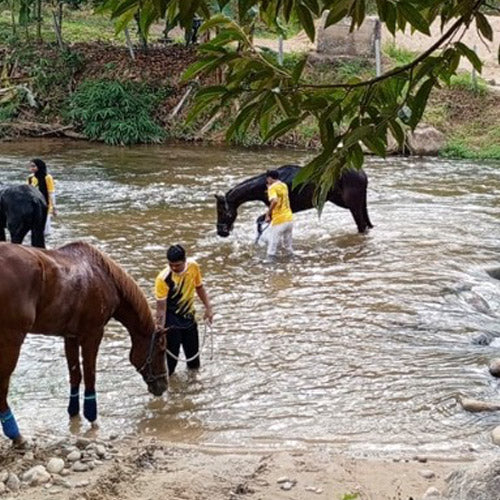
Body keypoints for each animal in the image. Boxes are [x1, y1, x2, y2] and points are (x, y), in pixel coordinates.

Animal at [0, 242, 168, 446]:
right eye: (161, 350)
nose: (163, 385)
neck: (105, 277)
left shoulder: (70, 337)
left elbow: (75, 375)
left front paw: (74, 414)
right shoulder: (93, 334)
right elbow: (90, 376)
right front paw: (92, 417)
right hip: (11, 340)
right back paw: (15, 434)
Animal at [214, 163, 372, 235]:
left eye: (221, 211)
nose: (221, 232)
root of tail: (362, 173)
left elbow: (260, 221)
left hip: (353, 205)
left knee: (362, 226)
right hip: (355, 203)